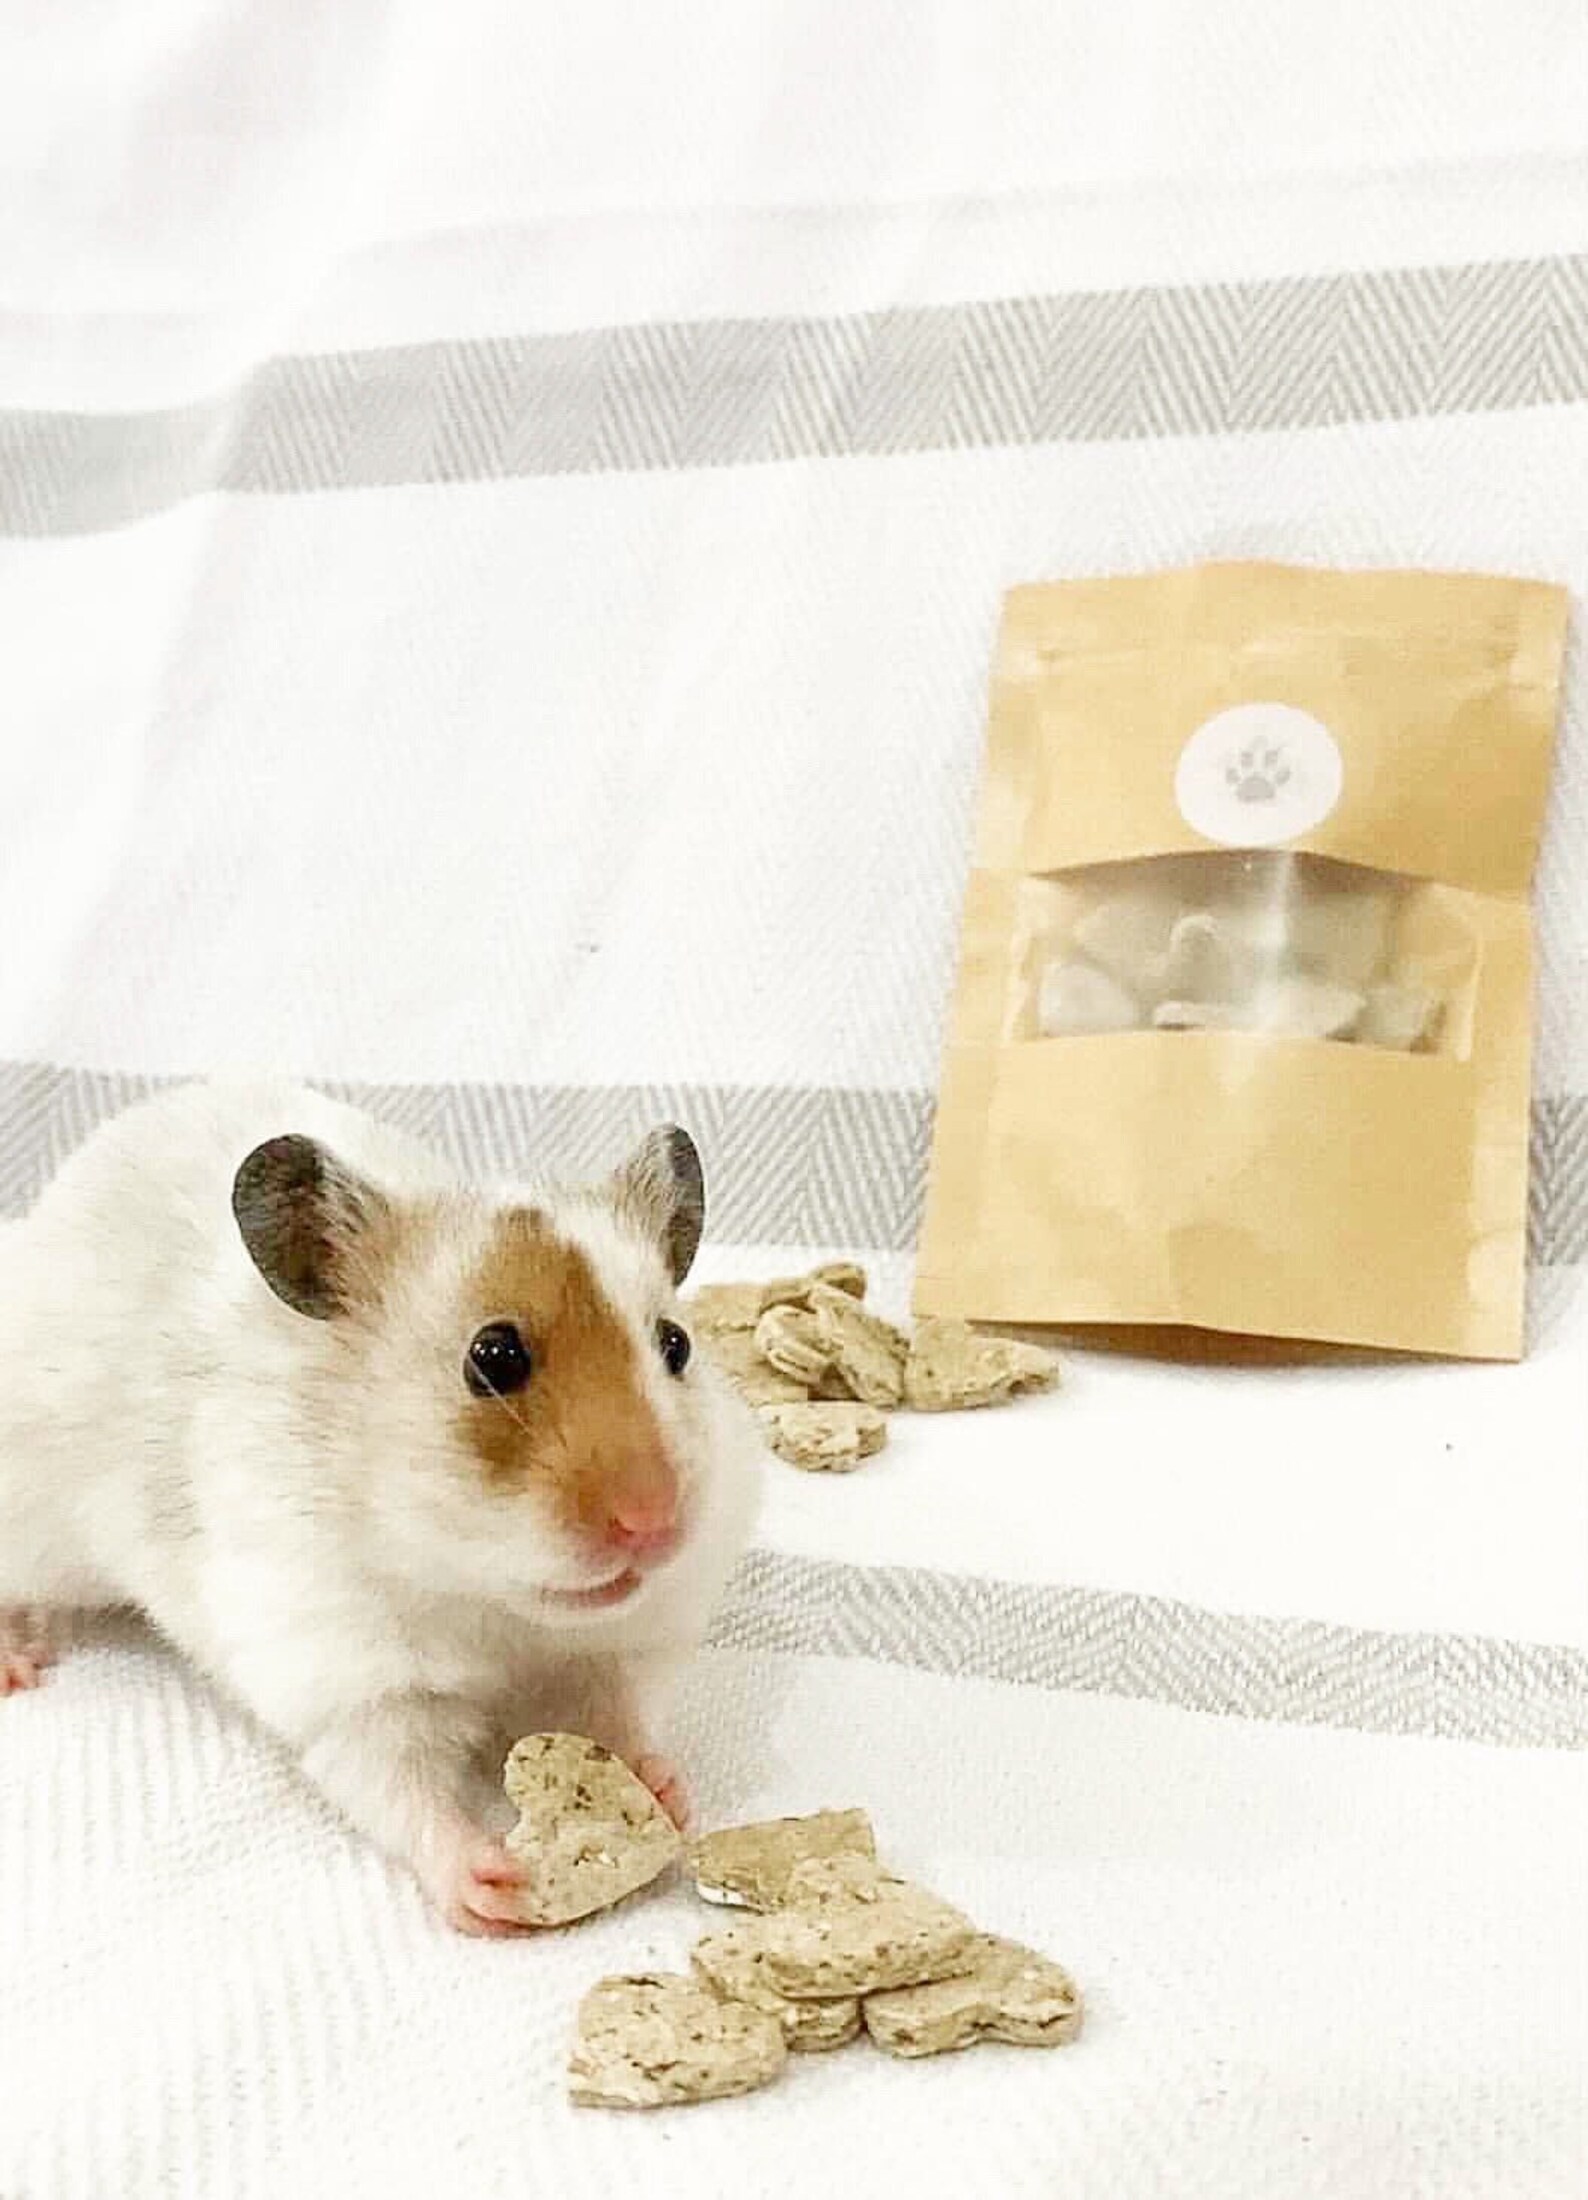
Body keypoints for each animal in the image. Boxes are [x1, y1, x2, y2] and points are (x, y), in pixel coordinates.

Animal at [0, 1080, 762, 1933]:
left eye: (675, 1346)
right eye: (493, 1357)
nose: (653, 1523)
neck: (482, 1594)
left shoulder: (611, 1650)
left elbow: (617, 1718)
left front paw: (670, 1794)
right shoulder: (351, 1683)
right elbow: (402, 1792)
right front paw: (494, 1885)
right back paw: (18, 1666)